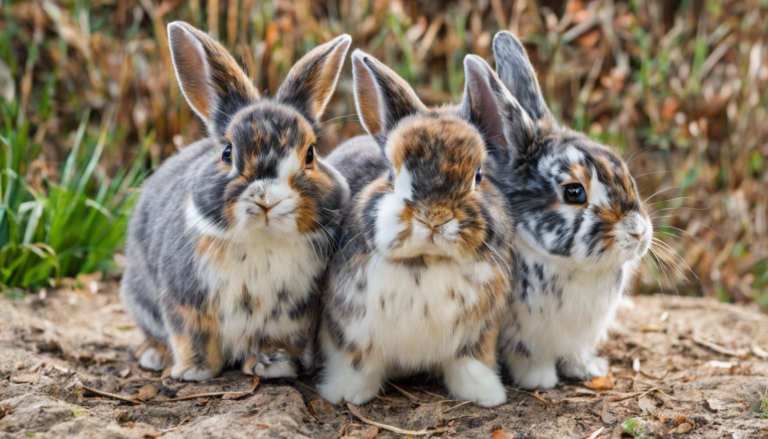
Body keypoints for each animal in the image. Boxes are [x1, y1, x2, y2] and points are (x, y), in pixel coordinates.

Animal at [119, 22, 352, 382]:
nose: (267, 200)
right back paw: (155, 357)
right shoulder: (185, 303)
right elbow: (192, 336)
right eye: (227, 152)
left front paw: (274, 367)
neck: (262, 242)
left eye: (311, 154)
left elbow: (274, 342)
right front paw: (193, 371)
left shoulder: (289, 317)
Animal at [314, 49, 520, 410]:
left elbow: (469, 364)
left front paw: (485, 395)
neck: (427, 261)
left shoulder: (476, 337)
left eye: (479, 175)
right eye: (390, 175)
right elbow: (357, 363)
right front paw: (344, 394)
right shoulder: (349, 331)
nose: (433, 216)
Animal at [488, 30, 656, 388]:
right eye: (574, 192)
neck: (577, 269)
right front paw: (540, 380)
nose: (639, 232)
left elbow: (574, 355)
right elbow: (528, 358)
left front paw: (589, 370)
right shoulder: (522, 337)